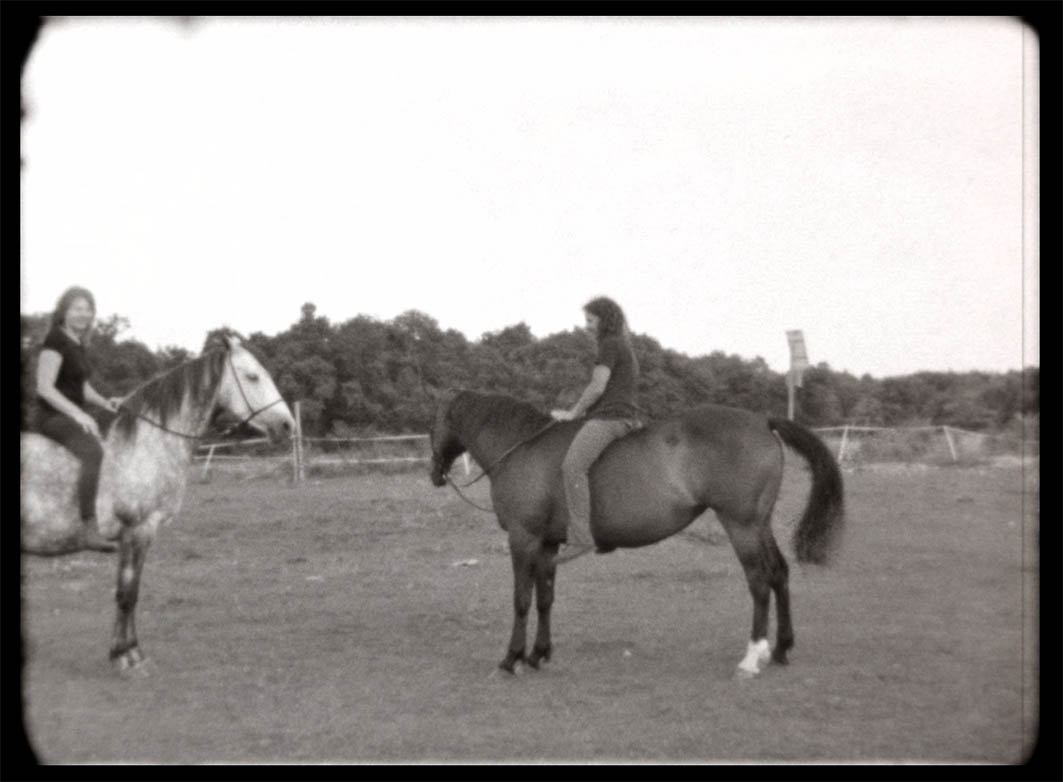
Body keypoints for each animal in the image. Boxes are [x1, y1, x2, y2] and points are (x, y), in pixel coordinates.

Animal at [21, 333, 295, 674]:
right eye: (252, 376)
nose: (288, 425)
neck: (147, 446)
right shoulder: (138, 530)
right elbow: (126, 594)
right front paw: (125, 656)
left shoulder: (141, 535)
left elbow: (132, 592)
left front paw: (131, 651)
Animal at [429, 390, 844, 678]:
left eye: (433, 423)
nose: (435, 473)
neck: (521, 449)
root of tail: (762, 420)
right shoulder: (547, 544)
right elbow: (545, 598)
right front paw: (538, 653)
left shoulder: (523, 538)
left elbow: (521, 599)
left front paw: (511, 657)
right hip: (759, 524)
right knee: (779, 574)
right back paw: (781, 649)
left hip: (741, 525)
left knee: (759, 580)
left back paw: (752, 656)